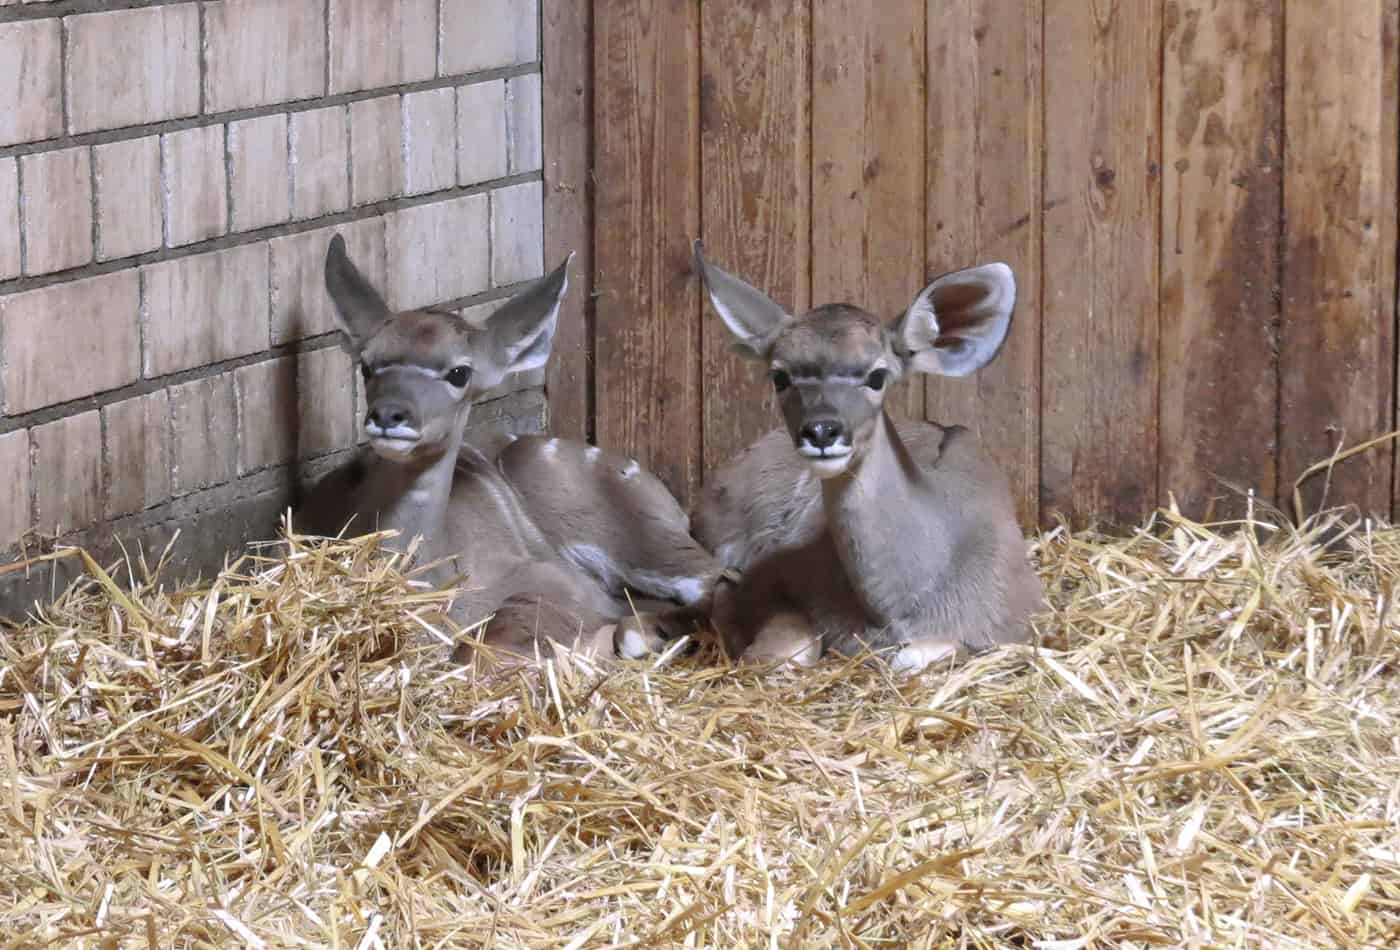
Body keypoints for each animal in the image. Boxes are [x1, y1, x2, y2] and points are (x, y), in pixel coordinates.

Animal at [296, 235, 722, 665]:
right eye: (366, 366)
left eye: (459, 373)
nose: (388, 415)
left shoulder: (557, 581)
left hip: (636, 535)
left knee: (711, 576)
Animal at [688, 244, 1041, 677]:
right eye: (780, 376)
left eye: (876, 376)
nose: (822, 432)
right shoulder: (768, 580)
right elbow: (785, 646)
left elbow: (916, 655)